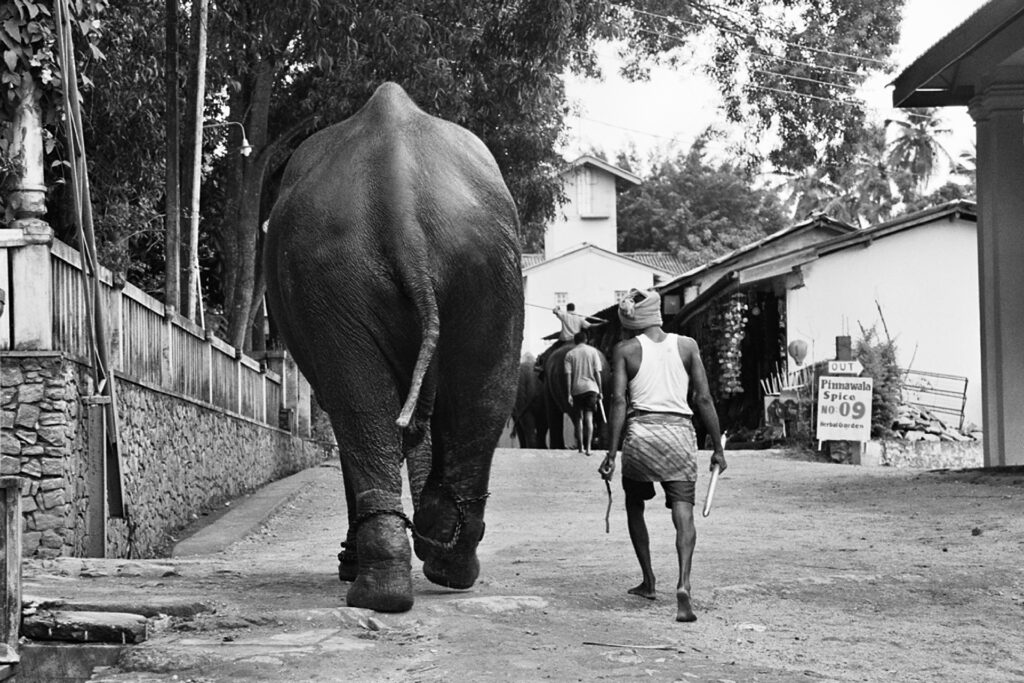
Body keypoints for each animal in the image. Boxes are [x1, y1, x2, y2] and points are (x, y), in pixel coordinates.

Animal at [264, 82, 523, 613]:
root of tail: (398, 196)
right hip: (486, 263)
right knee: (486, 392)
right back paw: (441, 559)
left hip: (332, 275)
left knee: (356, 404)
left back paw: (376, 588)